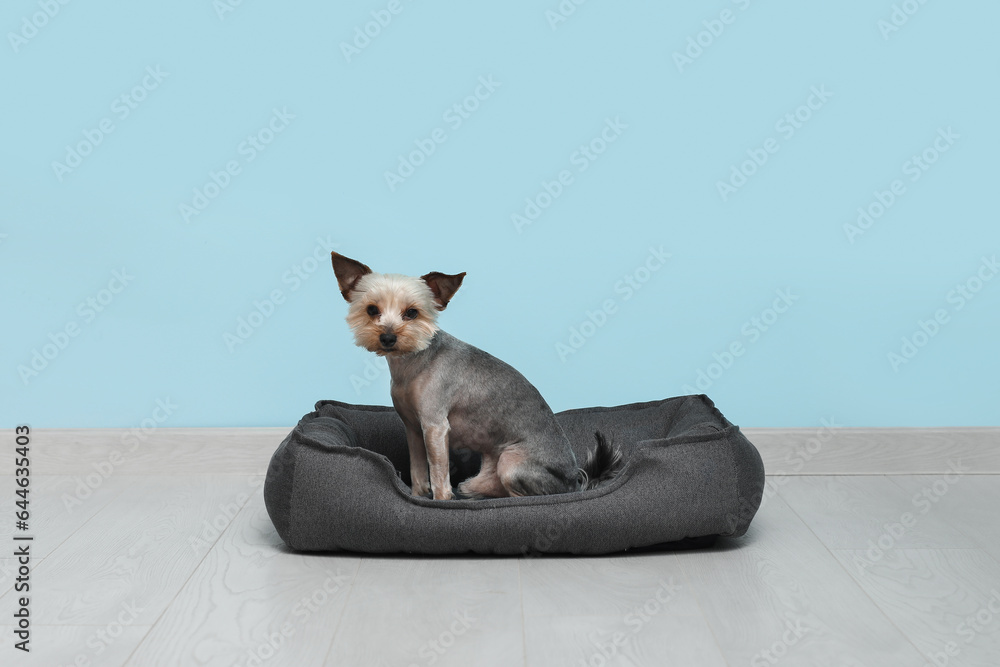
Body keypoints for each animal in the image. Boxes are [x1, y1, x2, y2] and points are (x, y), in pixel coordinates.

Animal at [332, 252, 620, 500]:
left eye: (412, 313)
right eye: (371, 310)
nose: (388, 337)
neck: (414, 360)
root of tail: (574, 483)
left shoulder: (435, 427)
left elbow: (438, 474)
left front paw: (440, 500)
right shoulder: (413, 429)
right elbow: (418, 472)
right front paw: (417, 496)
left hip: (511, 463)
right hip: (481, 475)